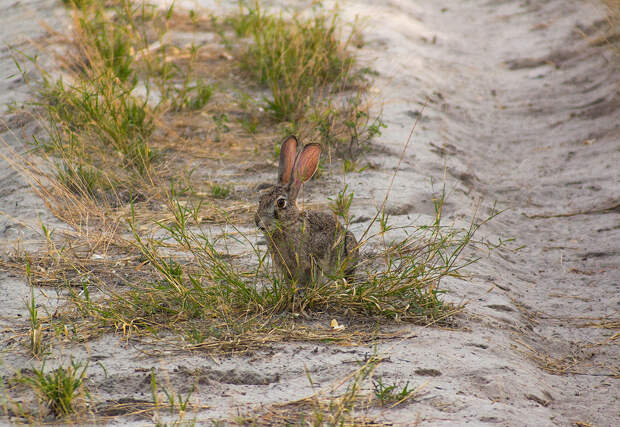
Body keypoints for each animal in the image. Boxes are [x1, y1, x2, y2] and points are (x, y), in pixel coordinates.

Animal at [253, 135, 358, 286]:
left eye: (281, 203)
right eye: (260, 199)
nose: (258, 222)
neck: (288, 225)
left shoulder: (312, 260)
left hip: (349, 245)